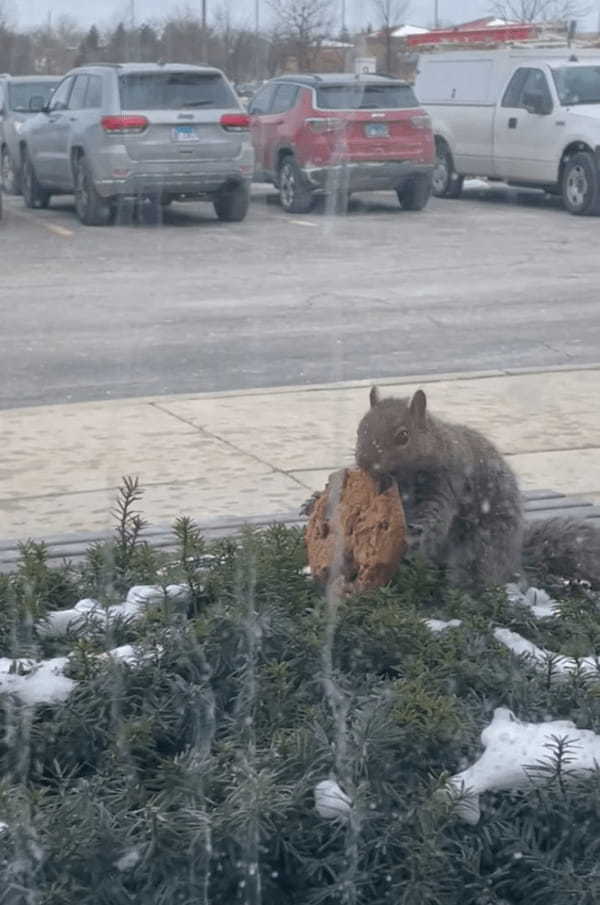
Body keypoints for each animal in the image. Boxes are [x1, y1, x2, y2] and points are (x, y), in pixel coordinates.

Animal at [350, 384, 596, 588]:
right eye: (360, 428)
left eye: (403, 436)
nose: (364, 461)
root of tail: (514, 557)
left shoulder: (446, 484)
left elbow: (433, 518)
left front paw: (411, 538)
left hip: (482, 545)